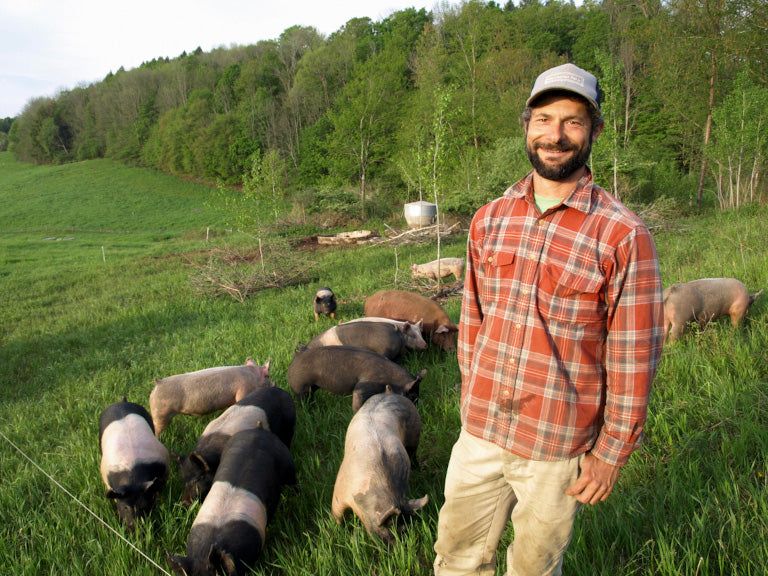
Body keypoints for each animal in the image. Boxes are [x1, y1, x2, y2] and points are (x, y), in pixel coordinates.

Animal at [286, 344, 424, 412]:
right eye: (412, 395)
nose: (417, 410)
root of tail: (297, 355)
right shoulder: (362, 387)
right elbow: (357, 401)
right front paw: (355, 413)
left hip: (313, 386)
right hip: (300, 387)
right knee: (303, 400)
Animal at [330, 390, 426, 544]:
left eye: (406, 528)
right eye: (389, 531)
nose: (399, 547)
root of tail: (390, 392)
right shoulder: (340, 489)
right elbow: (337, 513)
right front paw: (339, 530)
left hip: (415, 432)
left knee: (413, 452)